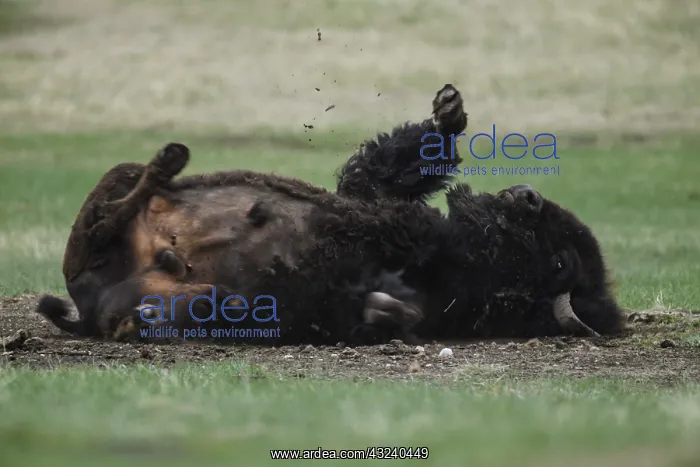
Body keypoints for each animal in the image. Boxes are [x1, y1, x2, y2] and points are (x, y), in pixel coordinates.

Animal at [35, 84, 626, 345]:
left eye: (559, 263)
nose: (527, 195)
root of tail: (86, 308)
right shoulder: (370, 198)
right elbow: (383, 167)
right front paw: (449, 112)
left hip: (133, 271)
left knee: (106, 220)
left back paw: (169, 164)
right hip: (118, 189)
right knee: (121, 203)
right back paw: (169, 165)